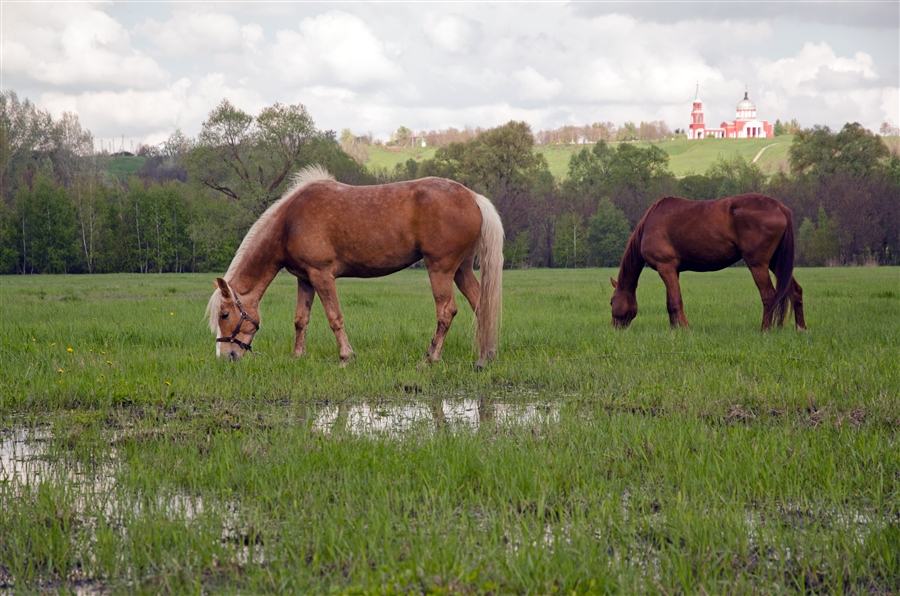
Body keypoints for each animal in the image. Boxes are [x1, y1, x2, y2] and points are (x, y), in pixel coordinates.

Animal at [206, 165, 506, 366]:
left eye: (224, 315)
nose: (226, 356)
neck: (290, 222)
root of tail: (473, 197)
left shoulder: (322, 275)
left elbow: (334, 317)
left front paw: (345, 356)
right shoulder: (305, 279)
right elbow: (301, 319)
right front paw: (297, 355)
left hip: (440, 269)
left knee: (446, 312)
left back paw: (431, 357)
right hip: (461, 270)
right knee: (481, 305)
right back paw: (486, 356)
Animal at [612, 193, 808, 330]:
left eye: (611, 302)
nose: (615, 328)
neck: (649, 224)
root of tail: (779, 207)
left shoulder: (665, 267)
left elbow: (676, 301)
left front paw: (685, 329)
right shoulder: (672, 270)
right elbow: (670, 303)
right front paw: (674, 330)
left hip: (758, 264)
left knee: (768, 295)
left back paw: (764, 330)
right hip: (777, 263)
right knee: (795, 290)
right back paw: (801, 328)